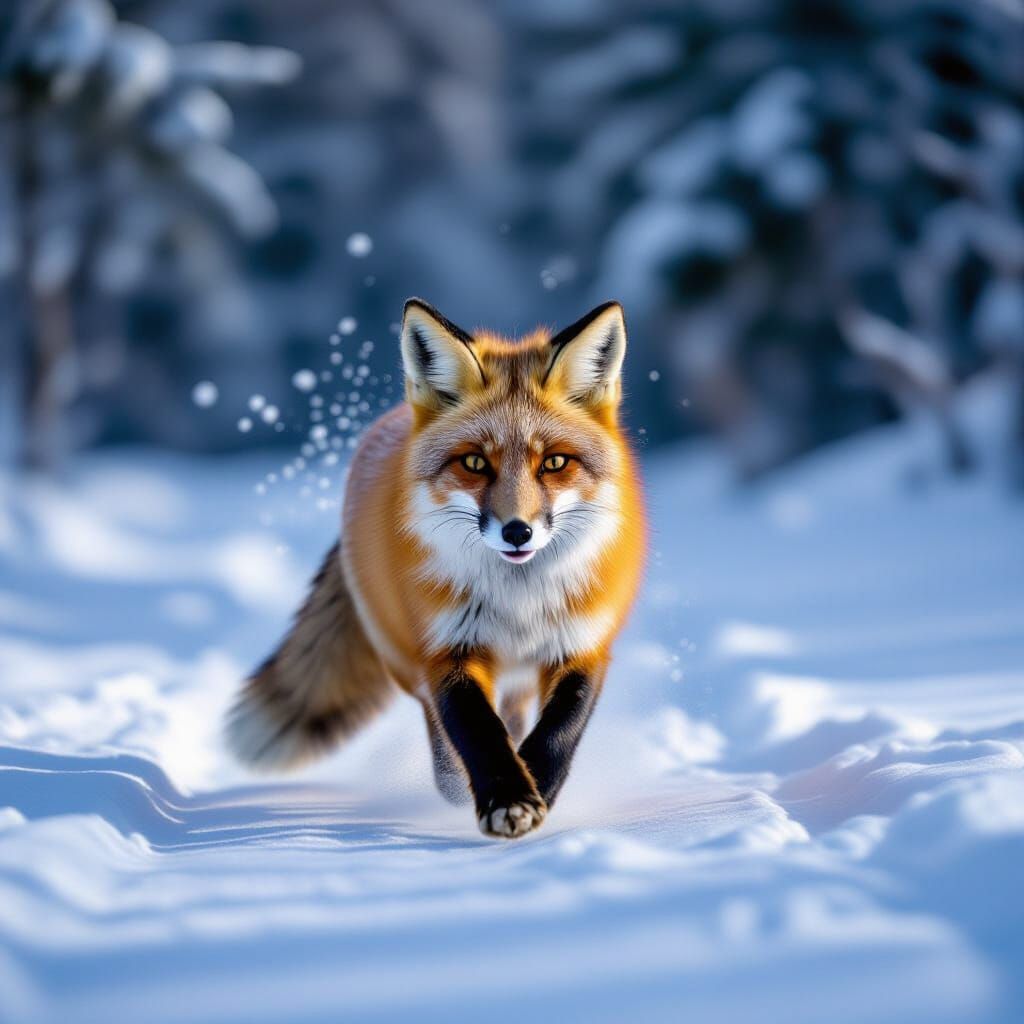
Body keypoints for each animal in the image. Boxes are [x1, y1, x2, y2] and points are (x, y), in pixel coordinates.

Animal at [226, 298, 647, 838]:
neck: (519, 601)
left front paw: (536, 786)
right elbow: (476, 728)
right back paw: (453, 783)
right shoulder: (446, 647)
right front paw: (506, 797)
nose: (517, 532)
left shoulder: (582, 644)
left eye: (554, 463)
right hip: (404, 658)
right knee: (443, 721)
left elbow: (559, 730)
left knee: (515, 713)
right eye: (475, 463)